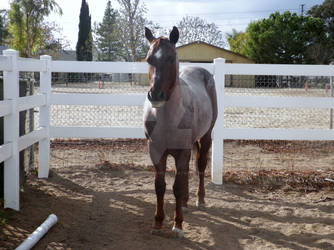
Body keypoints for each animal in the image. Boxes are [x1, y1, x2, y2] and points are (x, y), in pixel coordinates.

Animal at [144, 25, 219, 238]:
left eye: (171, 58)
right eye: (149, 59)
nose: (155, 95)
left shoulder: (182, 151)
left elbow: (176, 186)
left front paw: (177, 225)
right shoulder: (156, 152)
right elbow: (160, 186)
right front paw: (157, 222)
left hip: (206, 136)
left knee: (200, 166)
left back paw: (199, 199)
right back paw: (185, 203)